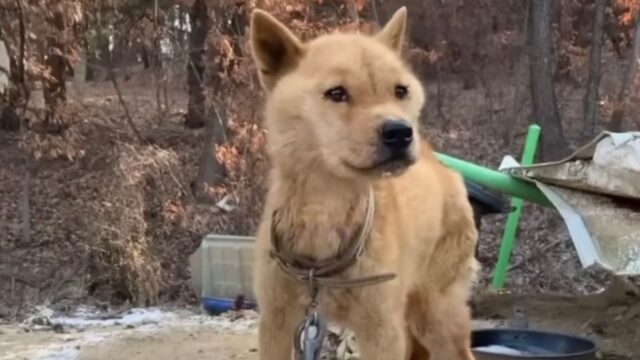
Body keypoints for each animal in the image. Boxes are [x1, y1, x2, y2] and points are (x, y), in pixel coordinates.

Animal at [250, 6, 480, 360]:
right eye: (337, 93)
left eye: (400, 91)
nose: (400, 132)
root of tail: (442, 166)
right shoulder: (277, 322)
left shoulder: (382, 331)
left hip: (435, 315)